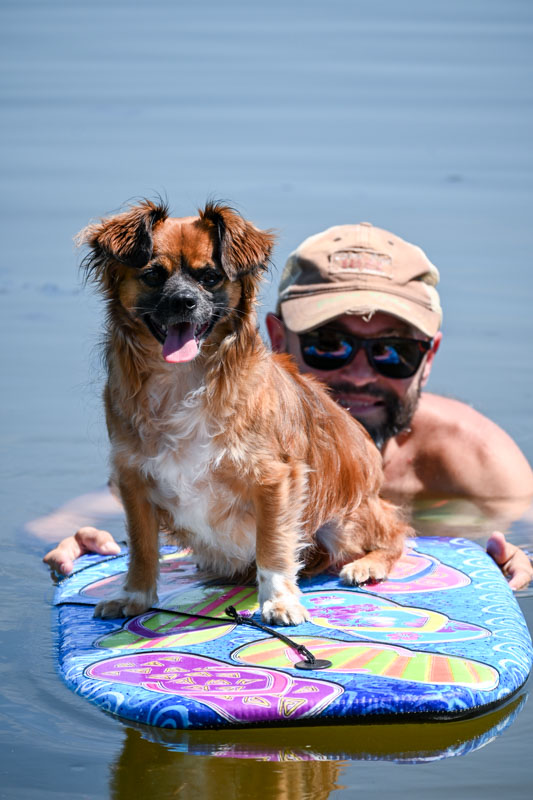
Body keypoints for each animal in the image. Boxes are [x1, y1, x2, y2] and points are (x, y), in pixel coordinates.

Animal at [79, 198, 410, 624]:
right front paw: (134, 595)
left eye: (210, 277)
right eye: (153, 275)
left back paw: (367, 565)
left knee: (395, 532)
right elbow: (141, 547)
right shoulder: (134, 478)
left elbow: (273, 545)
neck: (183, 378)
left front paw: (279, 601)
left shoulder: (275, 479)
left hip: (345, 519)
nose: (183, 301)